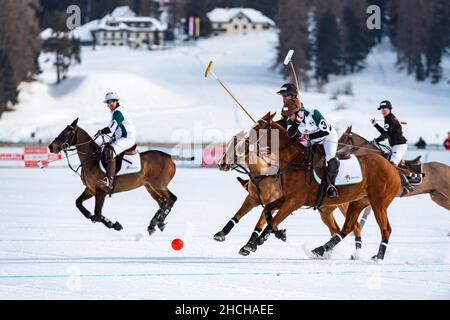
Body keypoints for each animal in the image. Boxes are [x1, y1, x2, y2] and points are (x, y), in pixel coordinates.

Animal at [47, 119, 178, 234]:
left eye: (66, 133)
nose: (51, 147)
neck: (91, 159)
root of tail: (170, 158)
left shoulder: (101, 190)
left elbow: (98, 213)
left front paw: (115, 225)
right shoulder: (90, 189)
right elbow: (79, 203)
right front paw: (90, 216)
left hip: (159, 185)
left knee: (172, 199)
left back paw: (159, 221)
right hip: (149, 186)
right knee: (162, 203)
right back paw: (154, 224)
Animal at [244, 112, 400, 260]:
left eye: (257, 129)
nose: (244, 146)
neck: (295, 161)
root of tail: (392, 167)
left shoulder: (294, 201)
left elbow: (274, 220)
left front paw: (256, 242)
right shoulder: (287, 198)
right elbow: (267, 211)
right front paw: (272, 236)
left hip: (379, 203)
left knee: (385, 229)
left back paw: (378, 257)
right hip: (359, 202)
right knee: (349, 227)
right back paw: (321, 249)